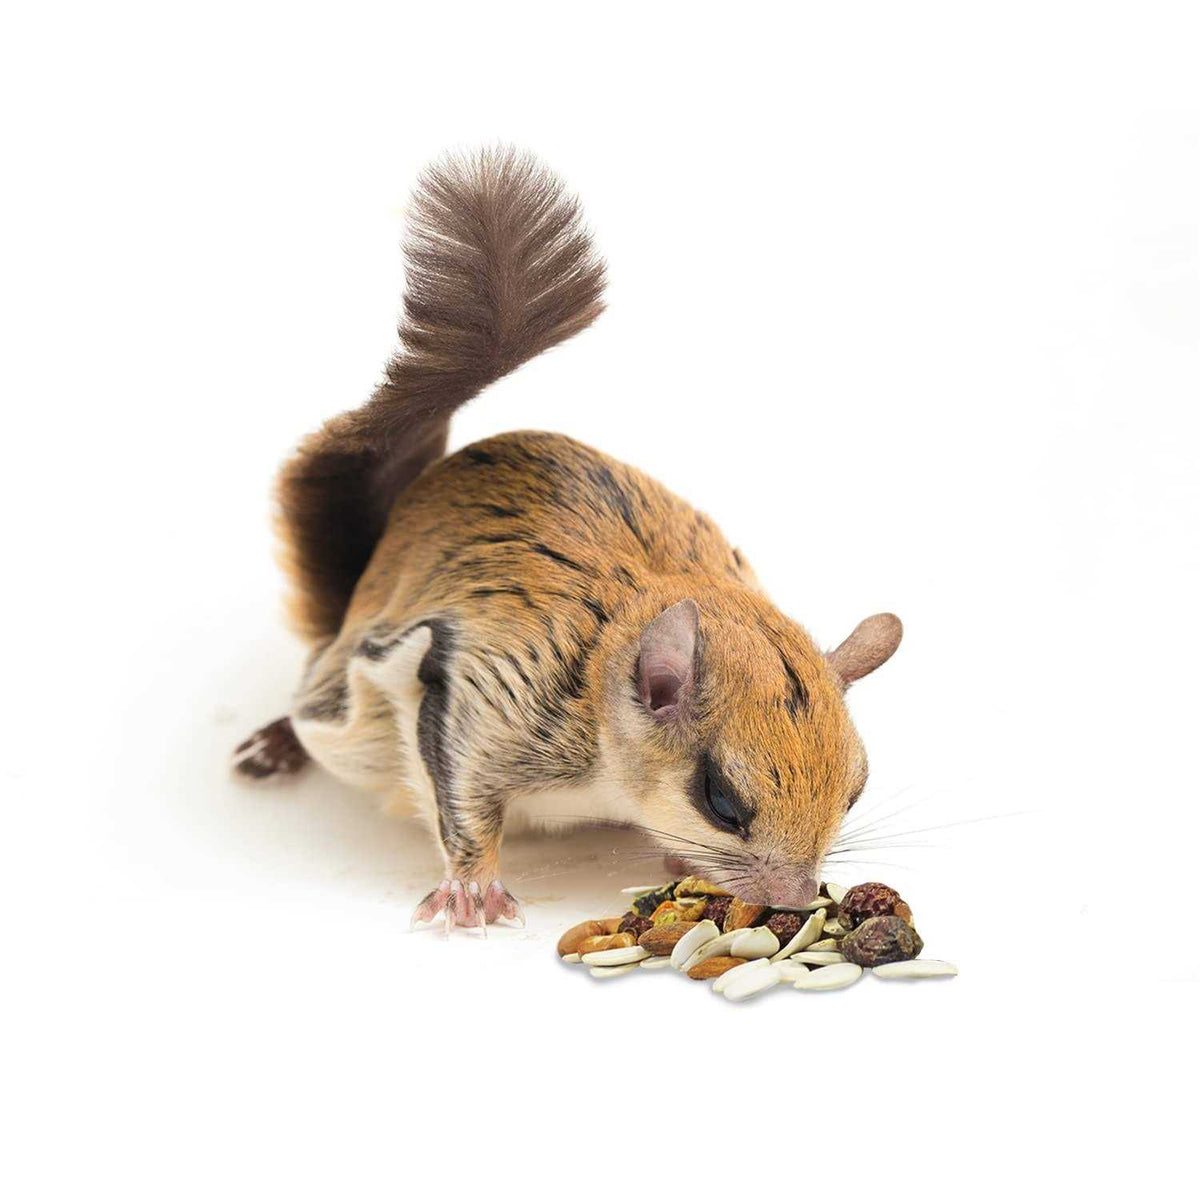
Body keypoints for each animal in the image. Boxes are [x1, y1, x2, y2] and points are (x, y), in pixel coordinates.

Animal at [232, 148, 903, 932]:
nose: (795, 899)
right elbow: (464, 800)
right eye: (722, 800)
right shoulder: (492, 692)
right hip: (342, 708)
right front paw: (471, 892)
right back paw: (274, 742)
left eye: (856, 790)